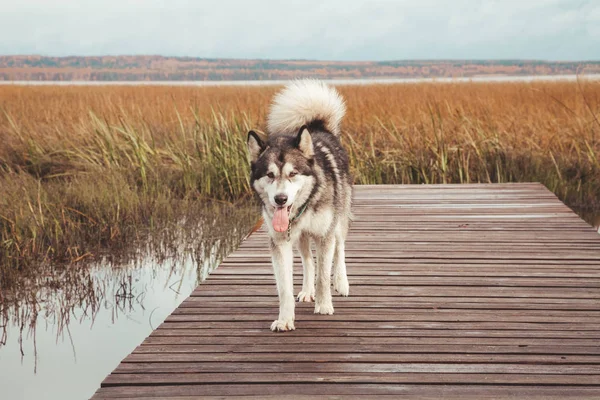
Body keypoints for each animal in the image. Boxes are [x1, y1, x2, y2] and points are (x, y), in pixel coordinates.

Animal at [247, 79, 352, 332]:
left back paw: (341, 282)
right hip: (301, 237)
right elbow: (285, 288)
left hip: (338, 221)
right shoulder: (280, 242)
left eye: (293, 173)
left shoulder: (324, 235)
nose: (281, 199)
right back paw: (306, 290)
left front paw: (324, 306)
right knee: (307, 261)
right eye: (270, 175)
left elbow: (323, 276)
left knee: (340, 248)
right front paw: (285, 319)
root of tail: (317, 127)